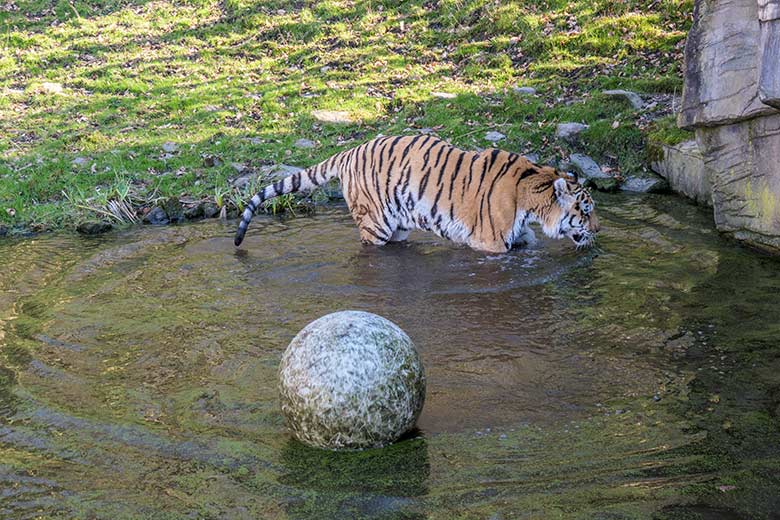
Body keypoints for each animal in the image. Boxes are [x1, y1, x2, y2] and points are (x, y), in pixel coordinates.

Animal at [235, 135, 600, 253]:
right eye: (584, 210)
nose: (598, 230)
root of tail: (350, 151)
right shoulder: (490, 244)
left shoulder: (520, 236)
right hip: (376, 226)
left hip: (398, 226)